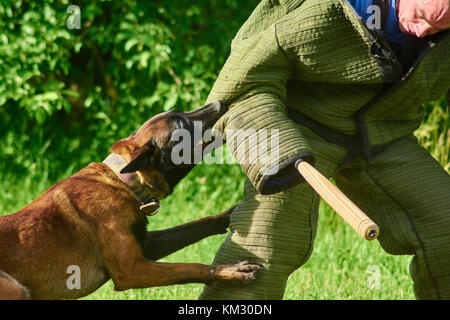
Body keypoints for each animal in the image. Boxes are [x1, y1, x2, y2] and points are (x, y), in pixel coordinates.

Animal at [0, 102, 260, 300]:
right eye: (181, 125)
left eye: (179, 111)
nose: (219, 103)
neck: (124, 182)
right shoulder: (132, 269)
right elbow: (191, 267)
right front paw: (231, 271)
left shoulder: (148, 245)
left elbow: (197, 225)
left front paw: (229, 214)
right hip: (16, 288)